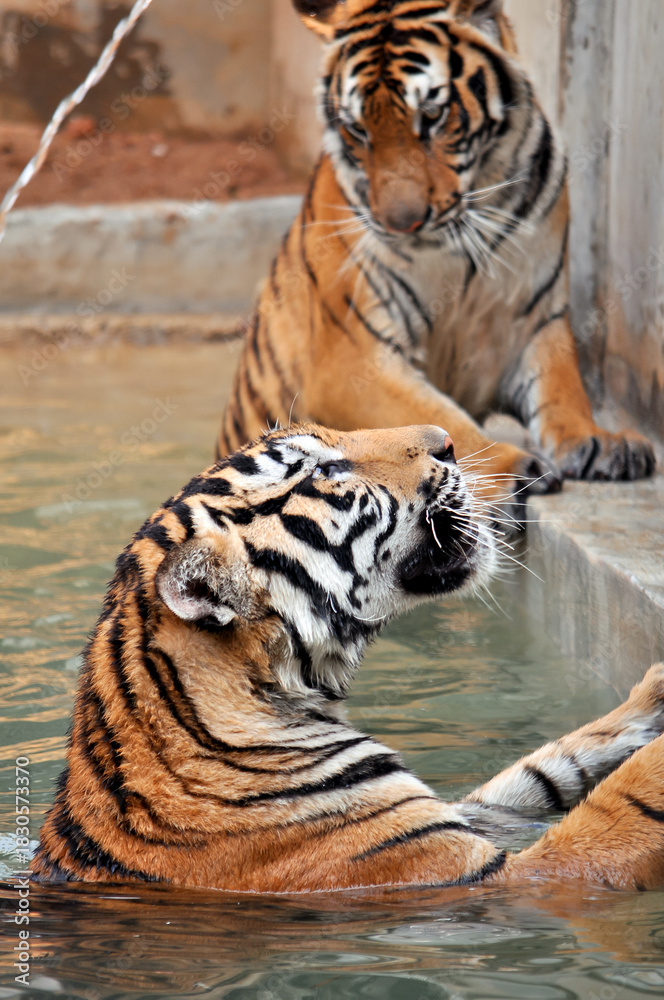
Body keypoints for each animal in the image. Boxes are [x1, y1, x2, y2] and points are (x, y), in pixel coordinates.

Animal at [218, 0, 655, 518]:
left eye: (432, 115)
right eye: (358, 129)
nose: (401, 222)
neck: (457, 247)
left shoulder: (537, 318)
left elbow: (561, 387)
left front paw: (598, 441)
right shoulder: (353, 359)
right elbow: (439, 419)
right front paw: (509, 469)